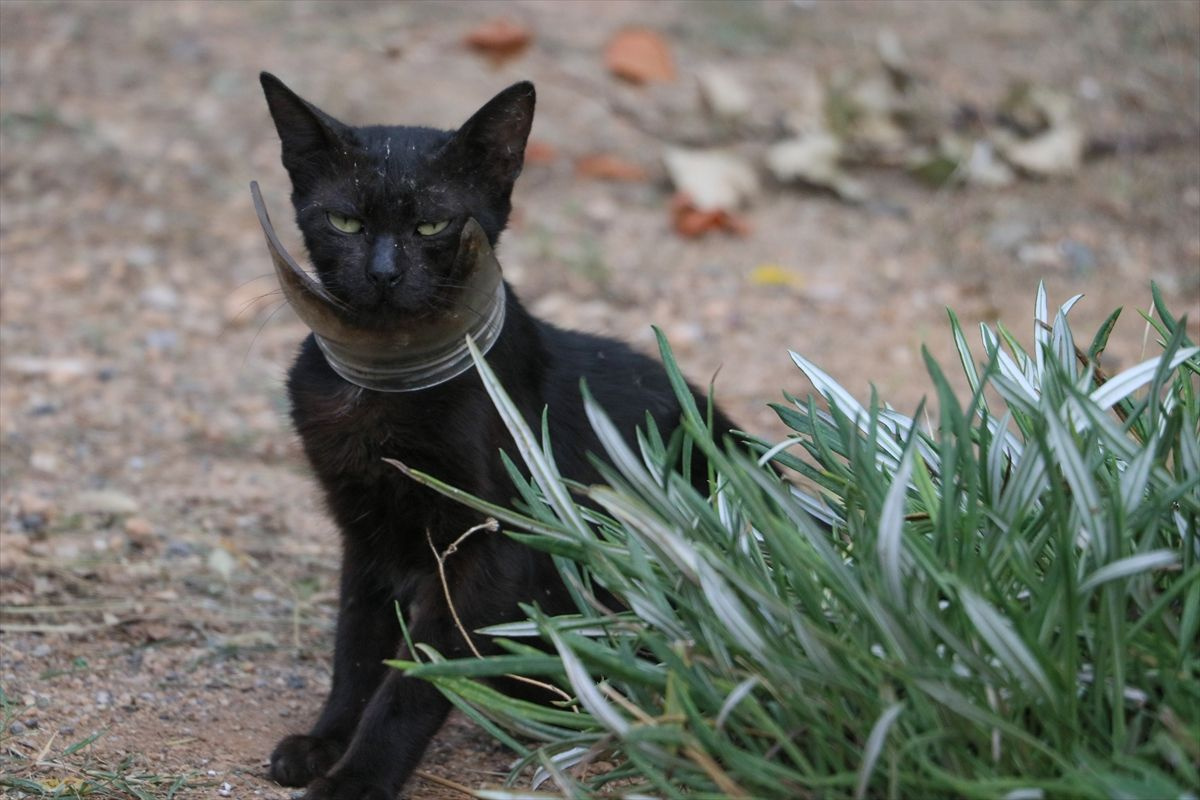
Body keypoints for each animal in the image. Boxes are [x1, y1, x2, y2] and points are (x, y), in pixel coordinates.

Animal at [258, 71, 734, 796]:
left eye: (433, 223)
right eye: (345, 221)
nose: (384, 273)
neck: (385, 385)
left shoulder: (493, 544)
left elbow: (424, 676)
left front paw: (359, 776)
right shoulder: (364, 532)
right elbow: (357, 649)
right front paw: (325, 740)